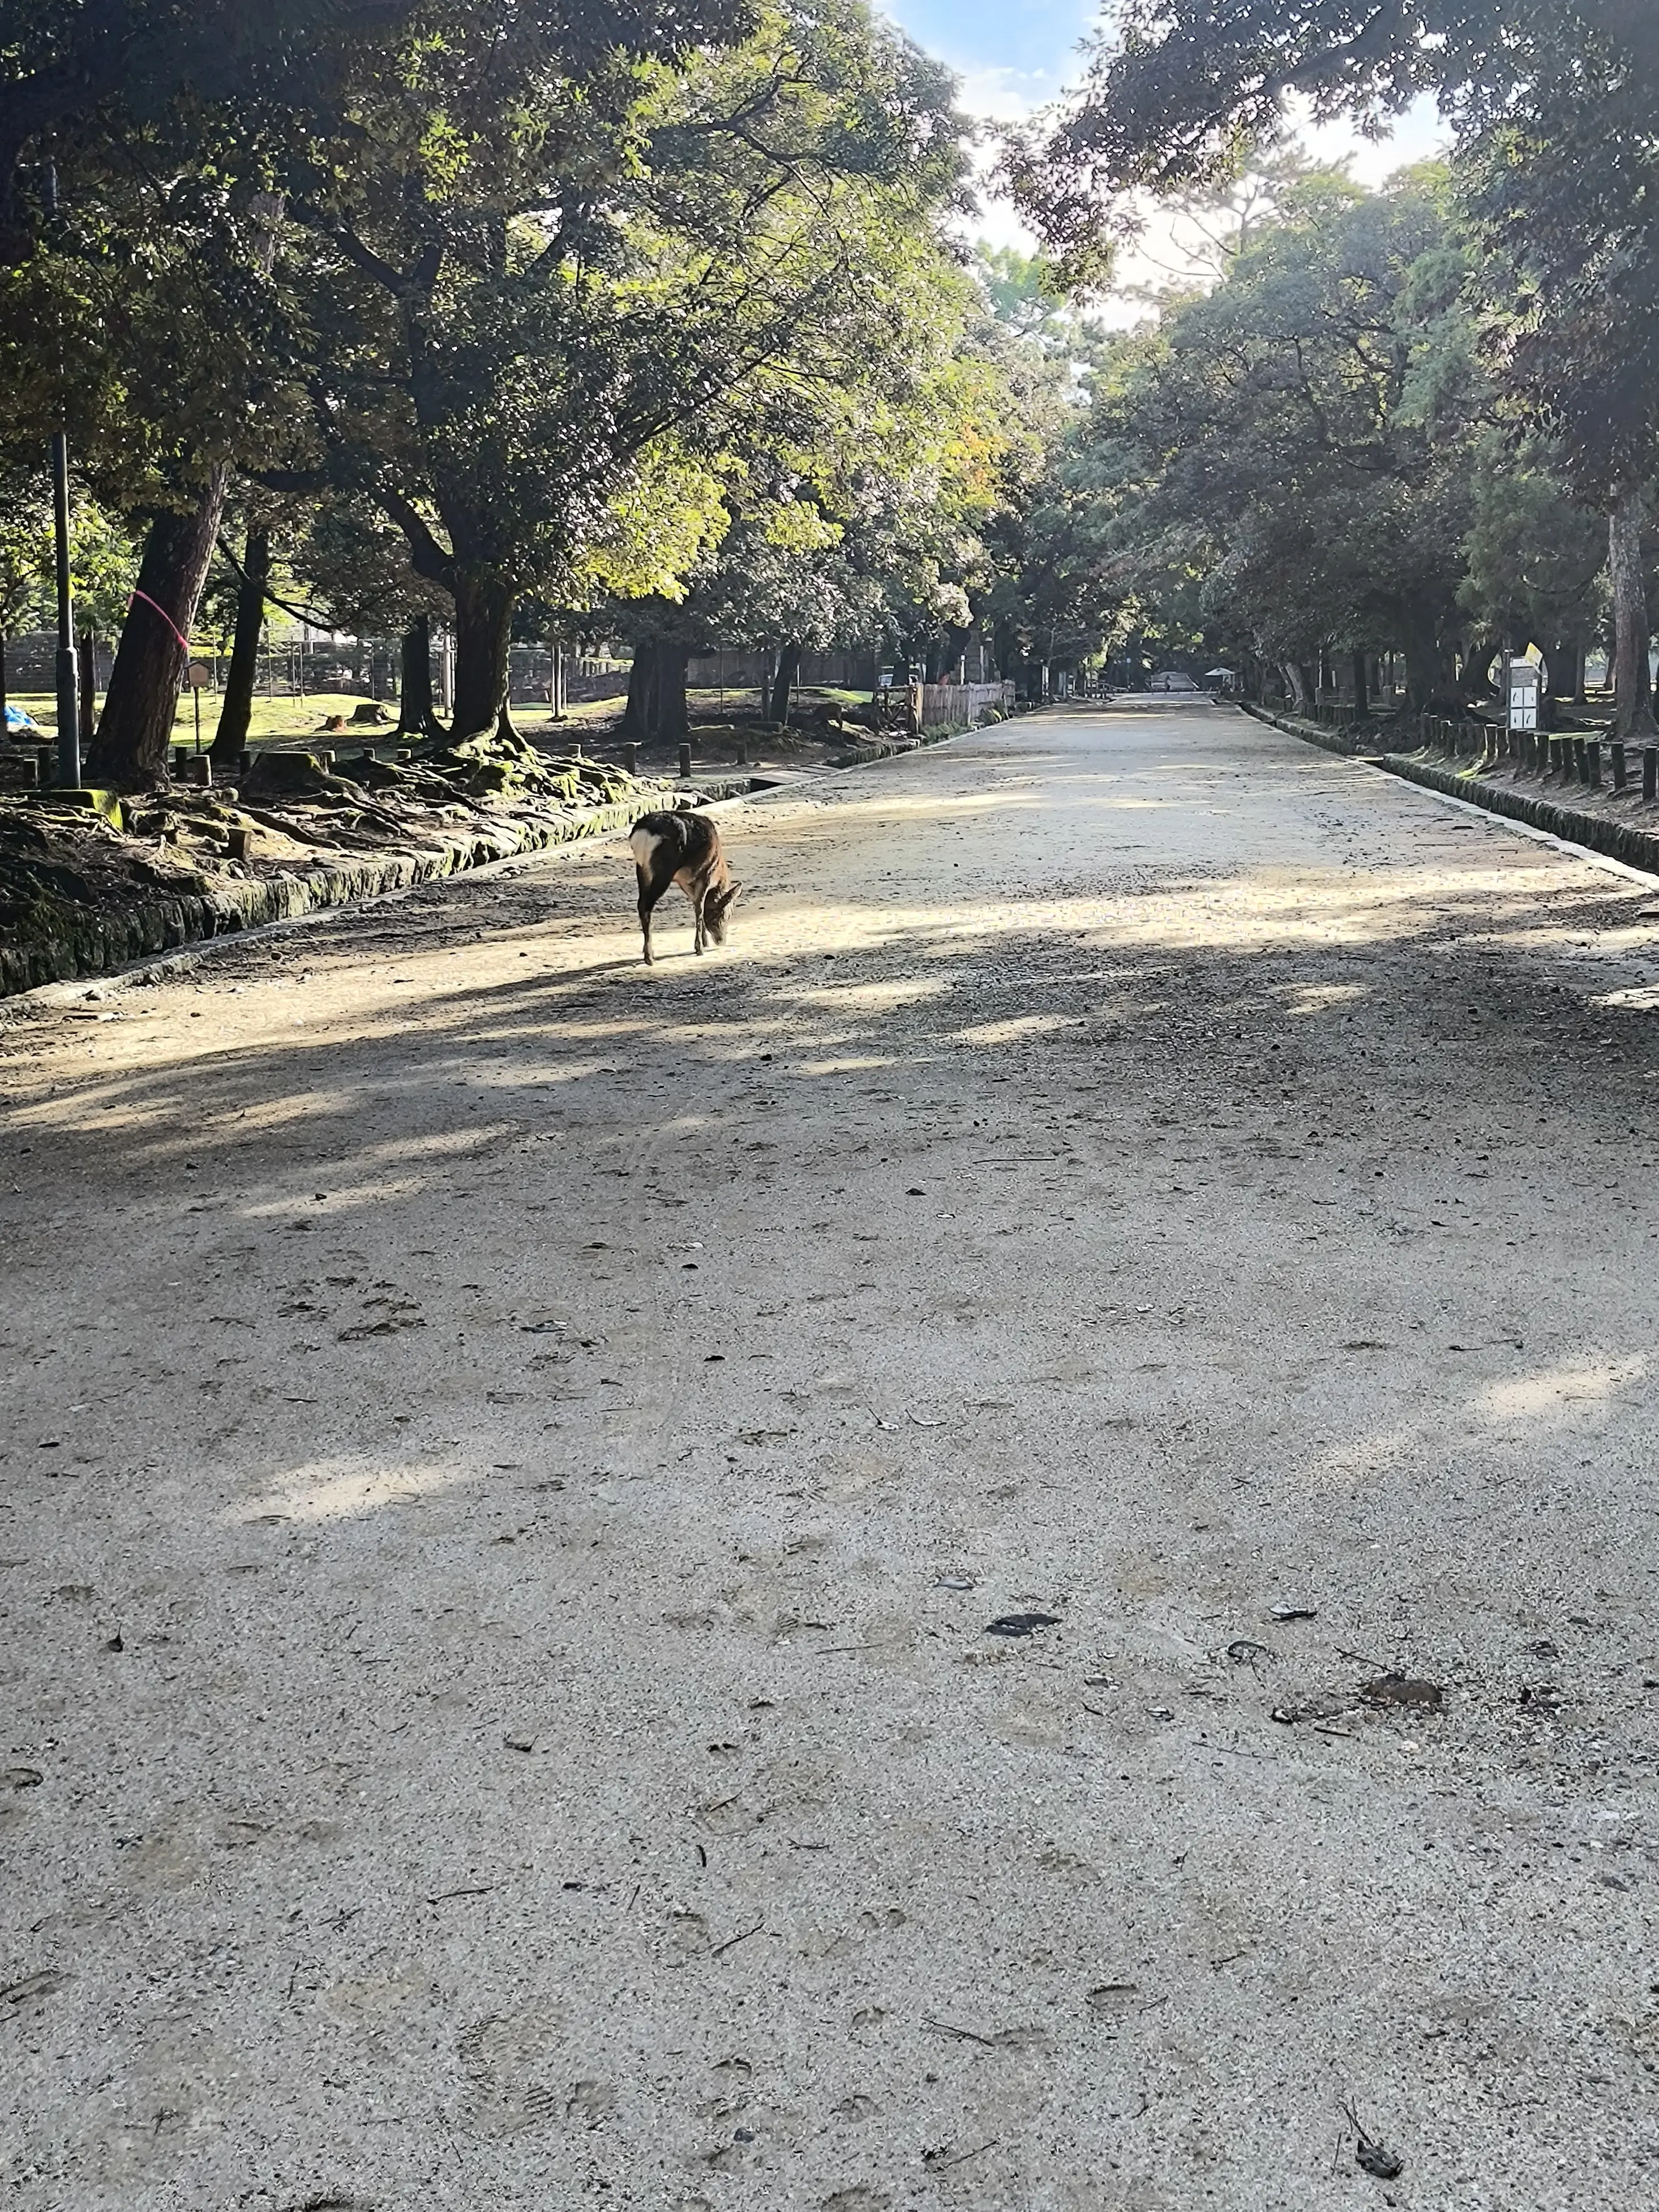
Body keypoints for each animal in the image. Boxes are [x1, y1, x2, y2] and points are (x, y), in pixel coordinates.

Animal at [628, 805, 747, 960]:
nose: (721, 941)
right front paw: (700, 948)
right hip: (664, 870)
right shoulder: (705, 874)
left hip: (642, 869)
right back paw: (649, 957)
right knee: (645, 906)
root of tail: (643, 833)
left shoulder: (685, 882)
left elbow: (696, 904)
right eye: (726, 915)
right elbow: (700, 909)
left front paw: (705, 942)